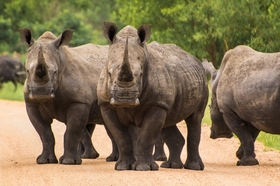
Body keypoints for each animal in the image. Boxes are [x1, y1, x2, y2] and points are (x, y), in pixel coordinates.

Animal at [97, 22, 208, 171]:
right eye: (109, 73)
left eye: (141, 74)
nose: (125, 97)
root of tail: (196, 61)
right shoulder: (106, 105)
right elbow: (121, 137)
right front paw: (123, 167)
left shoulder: (157, 104)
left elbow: (147, 135)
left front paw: (144, 168)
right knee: (169, 120)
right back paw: (172, 166)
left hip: (203, 81)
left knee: (195, 119)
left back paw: (194, 167)